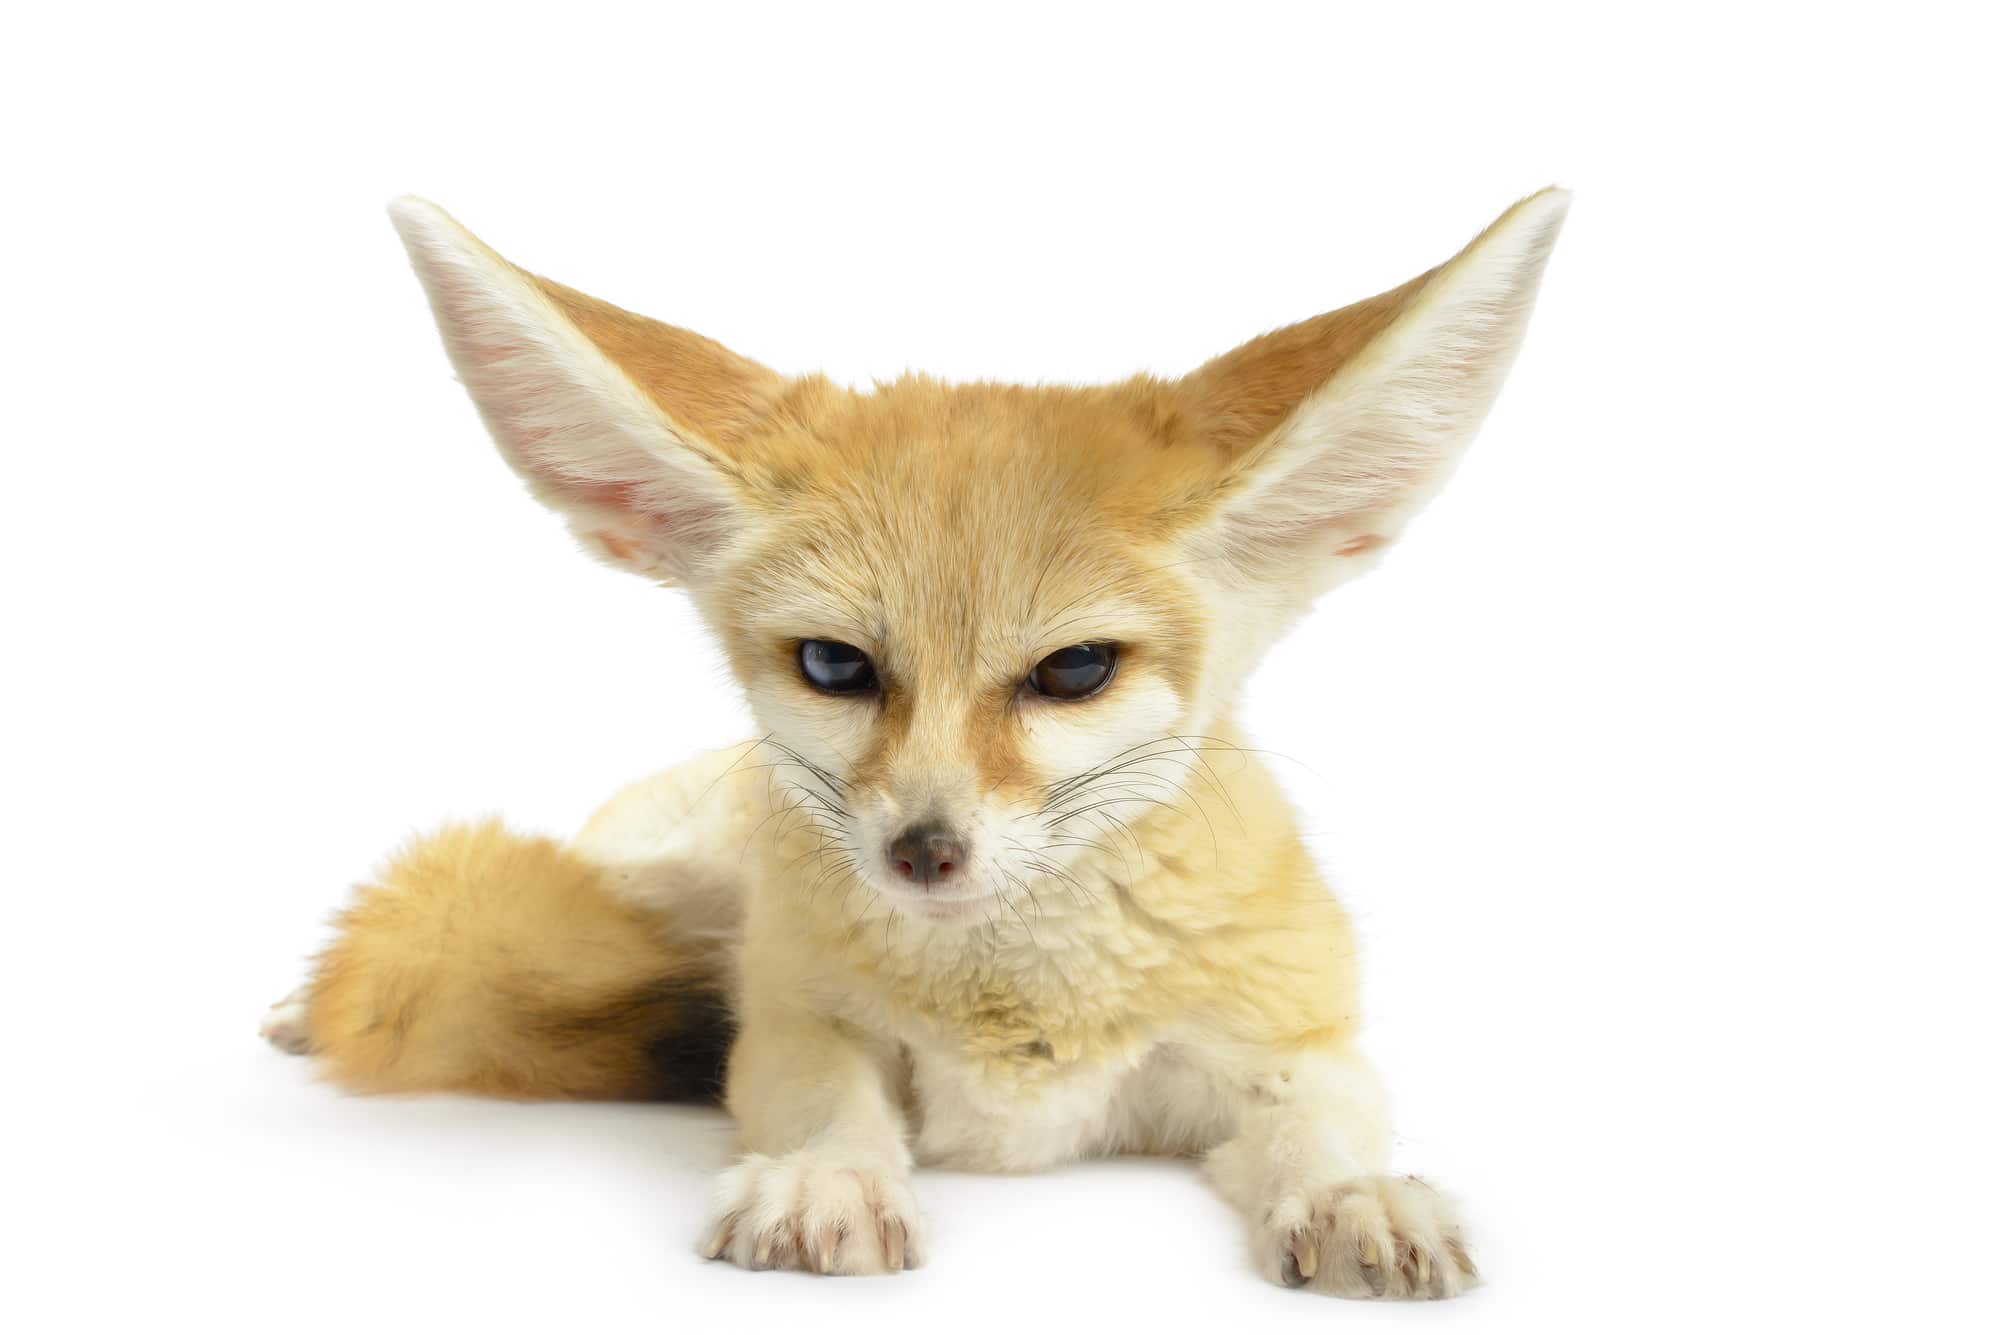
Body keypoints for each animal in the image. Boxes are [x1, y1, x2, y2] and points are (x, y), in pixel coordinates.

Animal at [260, 187, 1568, 1298]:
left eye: (1073, 670)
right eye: (835, 666)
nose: (923, 853)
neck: (1012, 1007)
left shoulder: (1293, 1039)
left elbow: (1325, 1123)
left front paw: (1352, 1196)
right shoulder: (791, 1021)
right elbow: (824, 1095)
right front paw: (830, 1177)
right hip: (669, 886)